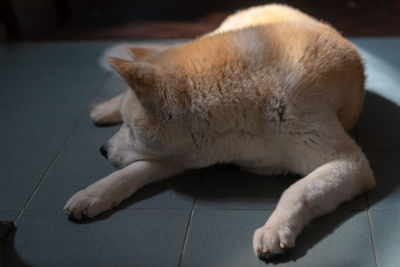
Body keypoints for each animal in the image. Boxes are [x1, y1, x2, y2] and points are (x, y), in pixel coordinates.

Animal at [65, 4, 376, 260]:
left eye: (130, 128)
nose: (103, 150)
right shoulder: (191, 152)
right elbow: (133, 172)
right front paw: (94, 194)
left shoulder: (351, 164)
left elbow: (297, 190)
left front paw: (276, 228)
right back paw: (103, 108)